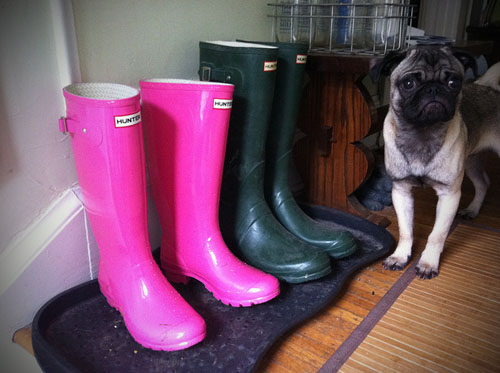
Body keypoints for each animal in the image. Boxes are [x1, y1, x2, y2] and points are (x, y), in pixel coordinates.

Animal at [372, 46, 500, 278]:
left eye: (453, 82)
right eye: (408, 83)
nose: (433, 89)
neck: (421, 134)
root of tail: (491, 89)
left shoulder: (449, 195)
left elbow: (437, 235)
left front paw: (428, 263)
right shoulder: (401, 192)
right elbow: (406, 231)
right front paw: (400, 256)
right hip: (472, 162)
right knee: (483, 184)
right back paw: (472, 210)